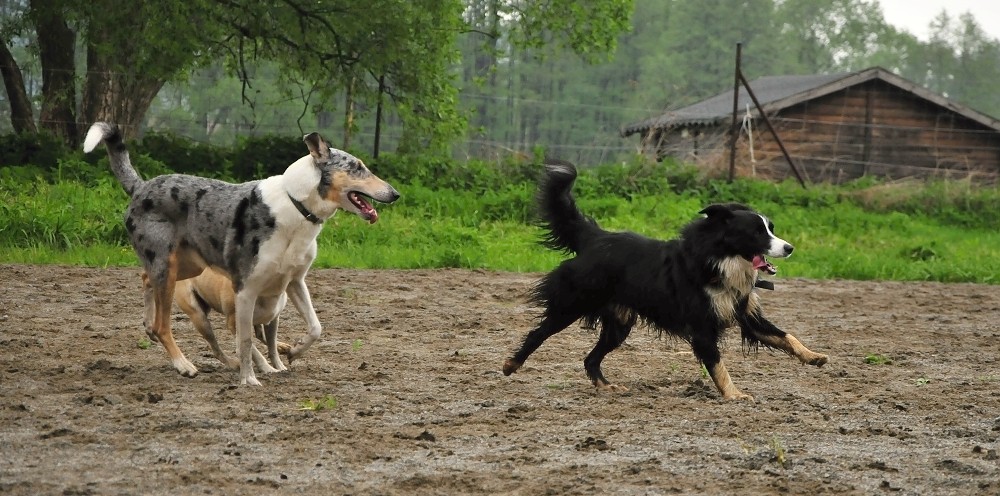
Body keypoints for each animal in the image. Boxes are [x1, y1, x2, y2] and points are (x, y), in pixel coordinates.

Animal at [84, 122, 400, 386]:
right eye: (357, 167)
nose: (395, 194)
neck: (296, 205)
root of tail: (140, 187)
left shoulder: (294, 282)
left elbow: (315, 327)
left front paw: (294, 352)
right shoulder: (245, 290)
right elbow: (246, 340)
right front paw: (249, 380)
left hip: (186, 265)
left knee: (144, 279)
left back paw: (149, 325)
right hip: (168, 269)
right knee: (164, 324)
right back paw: (182, 364)